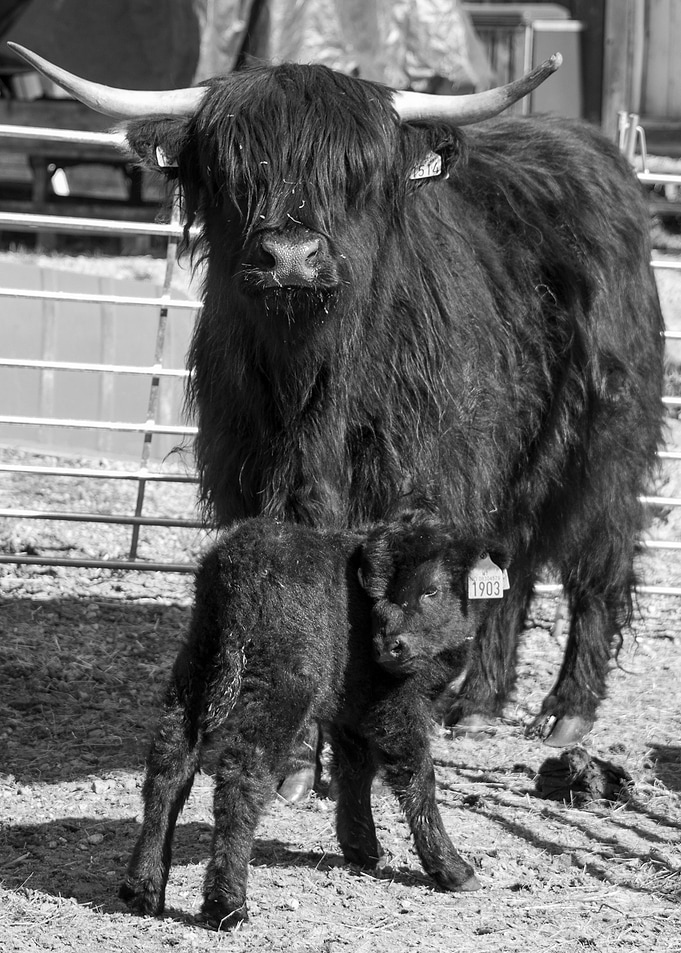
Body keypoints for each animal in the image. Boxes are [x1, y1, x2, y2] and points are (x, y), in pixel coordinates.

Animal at [11, 44, 665, 762]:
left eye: (354, 176)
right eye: (234, 169)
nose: (291, 257)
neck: (309, 389)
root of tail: (590, 148)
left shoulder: (416, 489)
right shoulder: (252, 483)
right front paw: (297, 751)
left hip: (604, 442)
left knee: (598, 560)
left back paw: (566, 710)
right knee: (512, 562)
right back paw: (477, 703)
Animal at [119, 515, 498, 929]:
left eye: (431, 590)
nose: (388, 646)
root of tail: (237, 567)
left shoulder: (354, 706)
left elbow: (355, 769)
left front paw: (362, 848)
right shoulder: (395, 703)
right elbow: (417, 777)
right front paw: (453, 869)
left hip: (196, 663)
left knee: (169, 765)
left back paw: (143, 889)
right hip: (280, 685)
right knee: (241, 778)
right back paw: (227, 904)